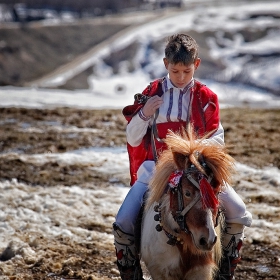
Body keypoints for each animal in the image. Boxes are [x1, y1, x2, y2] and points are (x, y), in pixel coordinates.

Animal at [141, 127, 235, 280]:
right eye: (187, 193)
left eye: (216, 193)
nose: (207, 239)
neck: (183, 245)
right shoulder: (159, 271)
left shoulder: (201, 272)